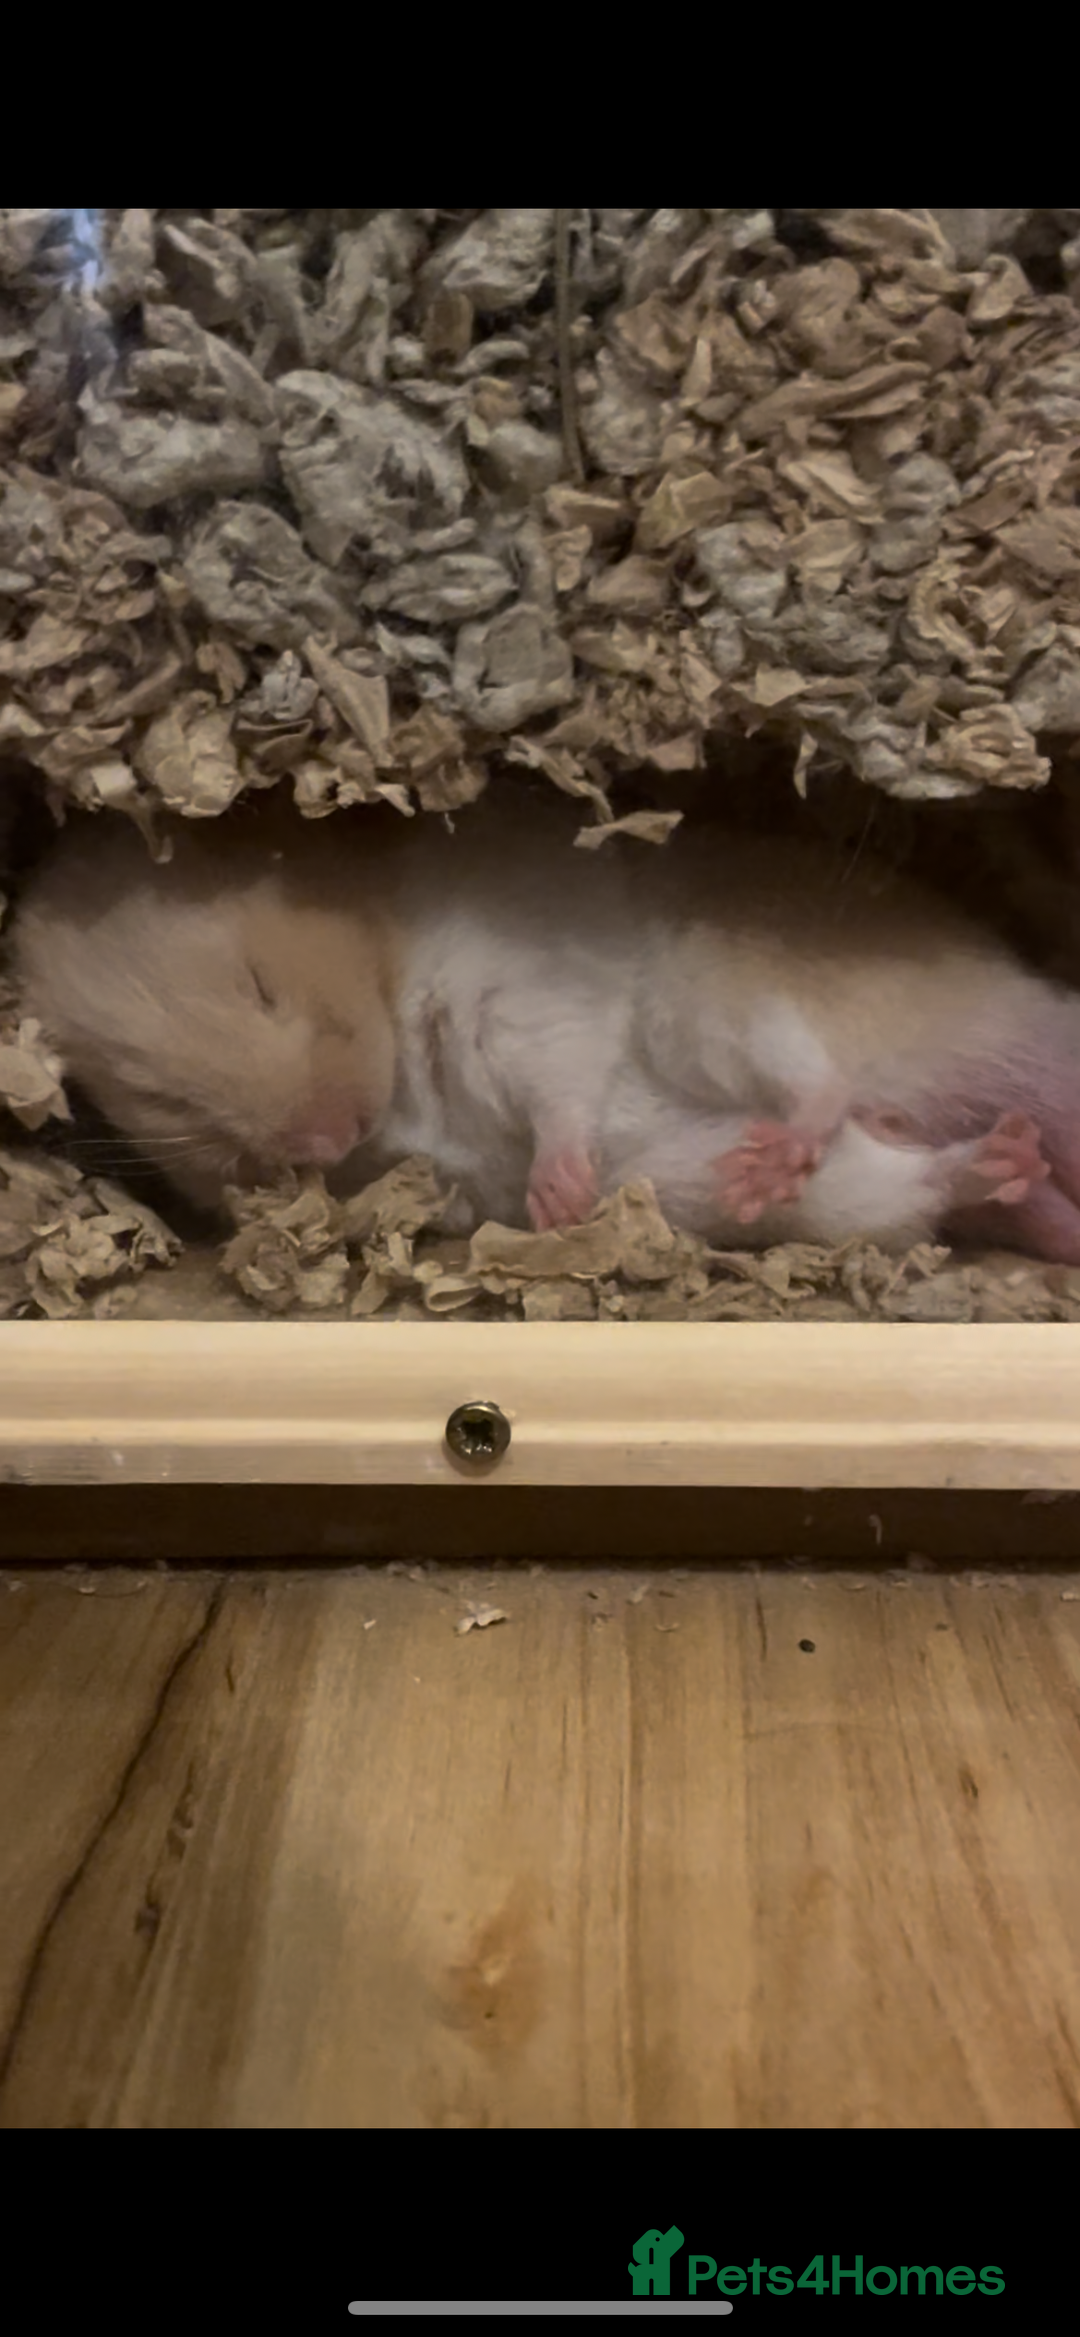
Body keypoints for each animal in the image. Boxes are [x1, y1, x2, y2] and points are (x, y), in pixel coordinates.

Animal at [12, 790, 1080, 1263]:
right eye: (159, 1095)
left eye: (260, 984)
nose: (330, 1137)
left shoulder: (522, 989)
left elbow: (557, 1086)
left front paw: (558, 1199)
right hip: (820, 1190)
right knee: (926, 1180)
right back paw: (1007, 1168)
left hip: (715, 994)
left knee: (818, 1084)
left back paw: (789, 1145)